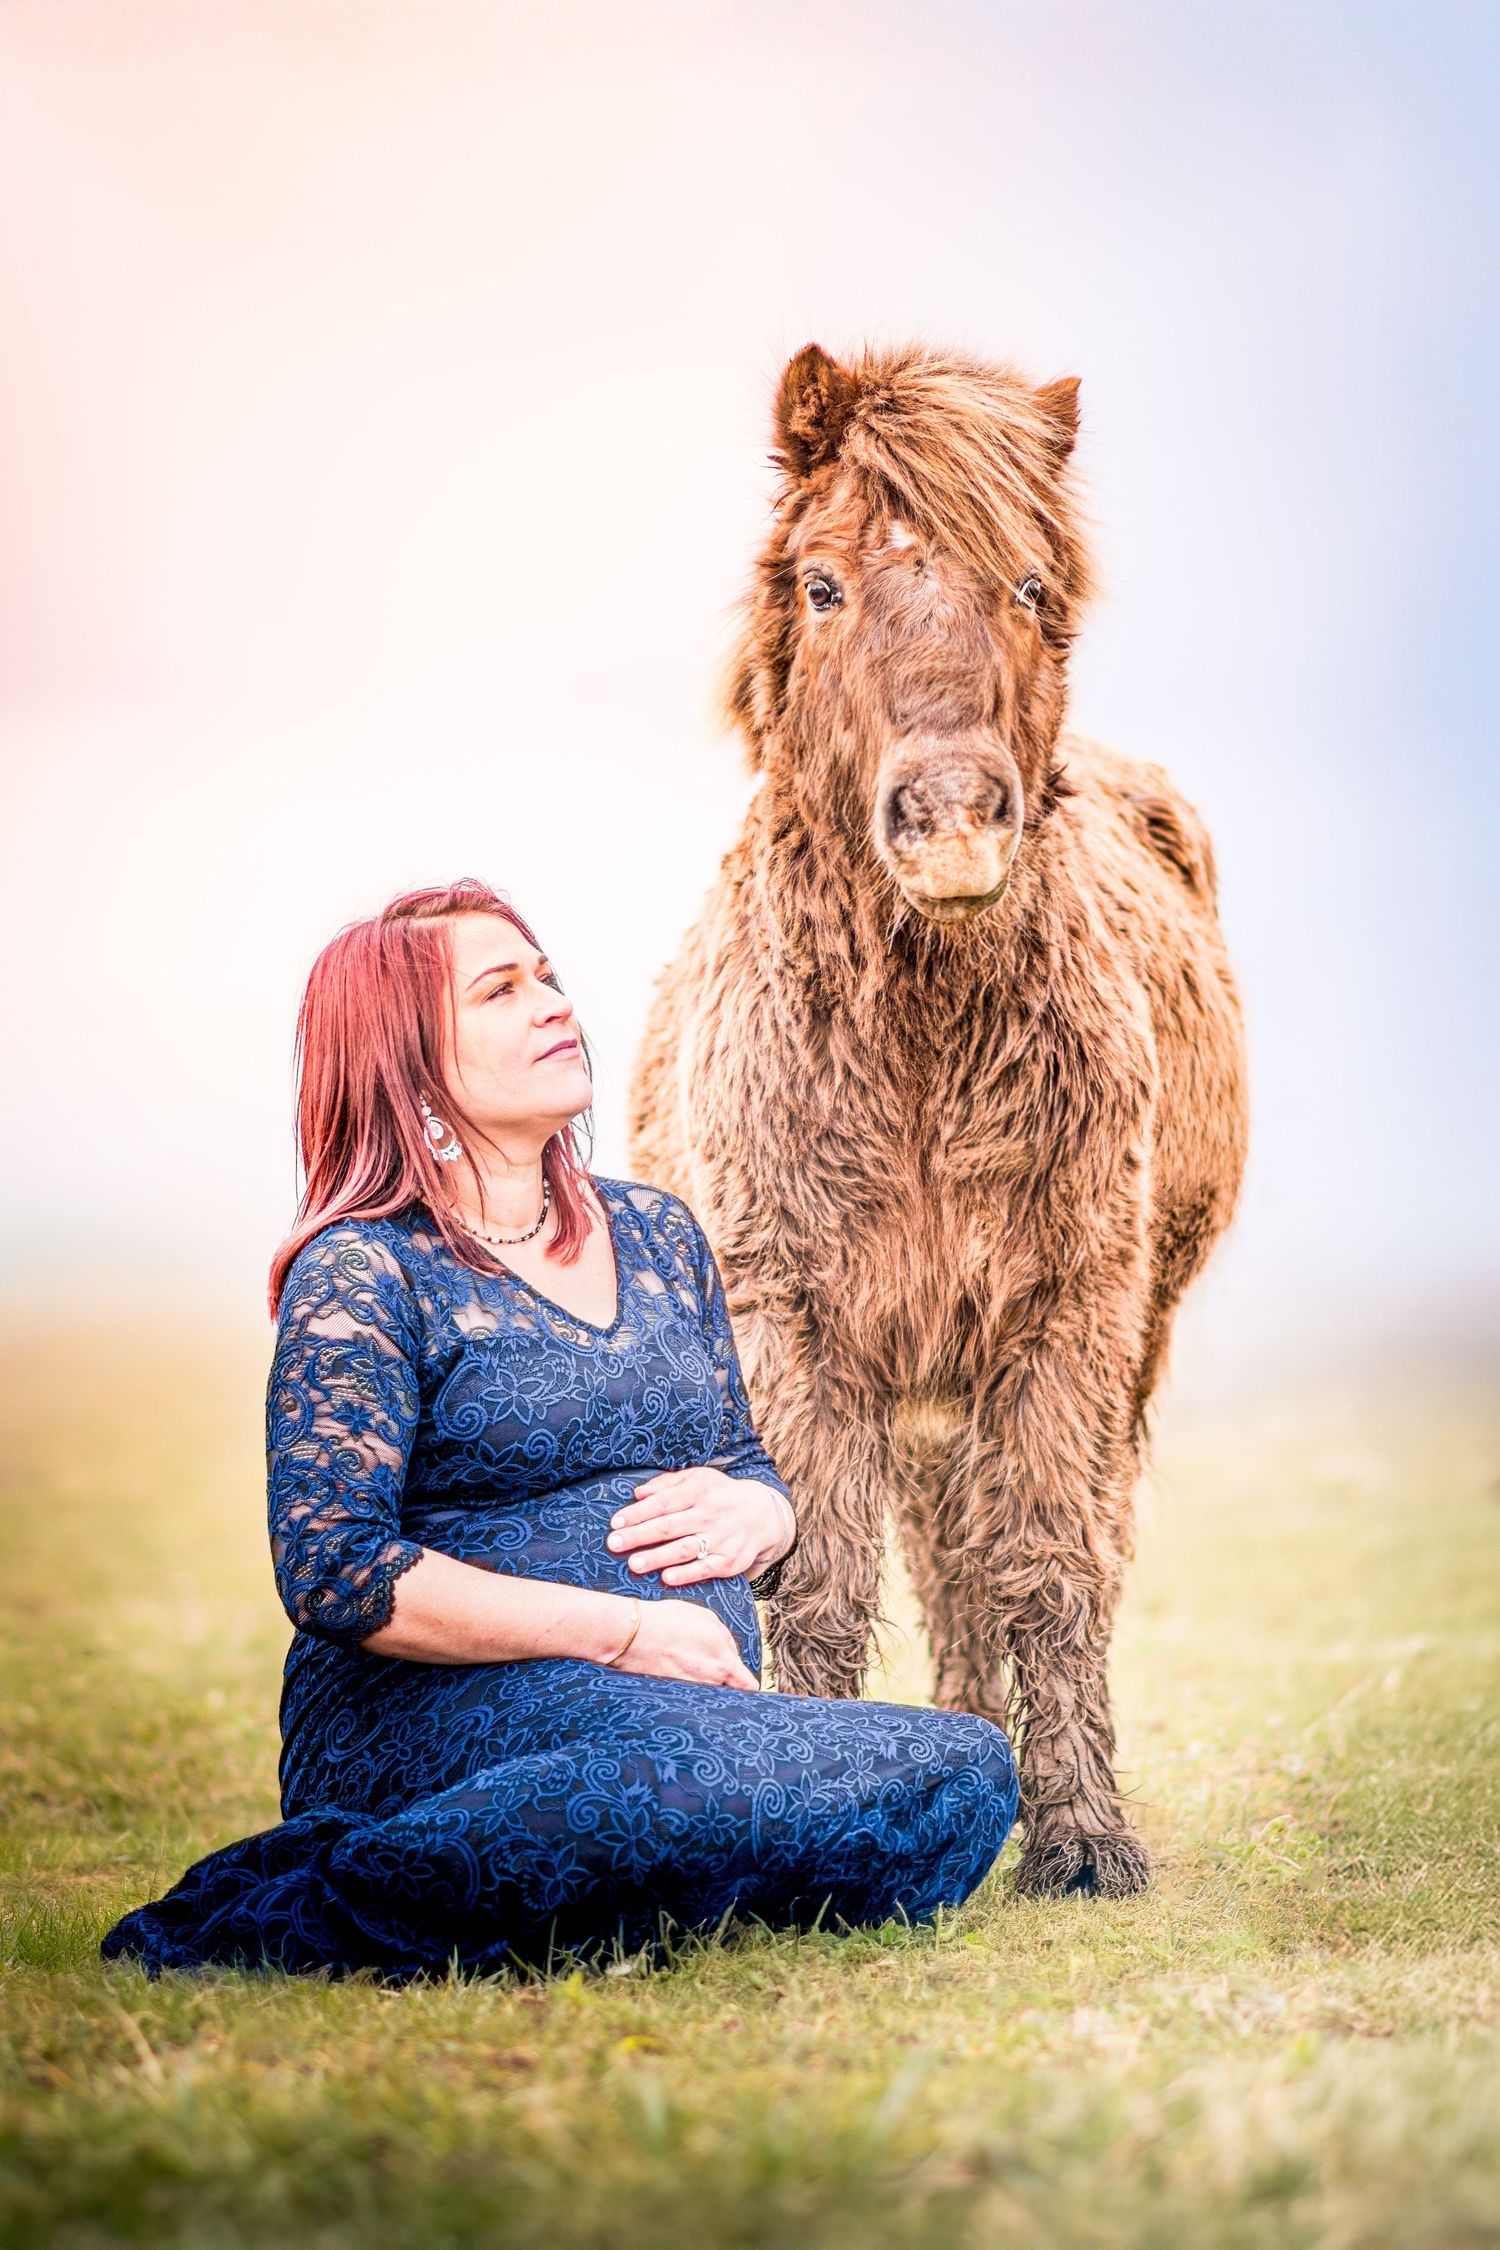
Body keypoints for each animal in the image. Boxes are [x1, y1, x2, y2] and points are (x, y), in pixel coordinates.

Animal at [628, 343, 1248, 1896]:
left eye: (1029, 584)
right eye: (823, 585)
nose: (957, 819)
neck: (913, 1050)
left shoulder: (1068, 1313)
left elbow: (1051, 1565)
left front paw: (1080, 1839)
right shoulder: (795, 1321)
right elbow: (815, 1577)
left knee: (998, 1554)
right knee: (938, 1551)